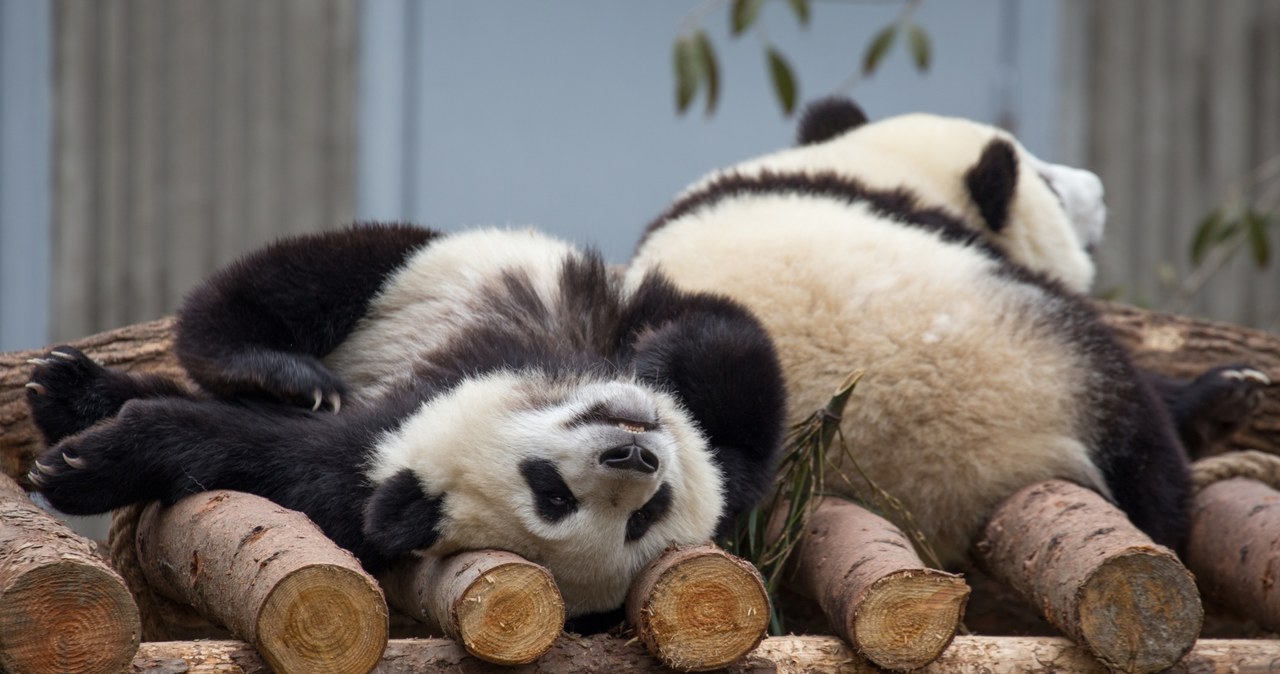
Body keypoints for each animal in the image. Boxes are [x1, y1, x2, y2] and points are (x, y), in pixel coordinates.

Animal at [27, 223, 788, 629]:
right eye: (550, 491)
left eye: (640, 520)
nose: (636, 456)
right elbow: (732, 353)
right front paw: (652, 363)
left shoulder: (357, 476)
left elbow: (258, 451)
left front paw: (92, 463)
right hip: (421, 273)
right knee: (301, 281)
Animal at [624, 97, 1264, 567]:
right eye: (1050, 186)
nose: (1097, 189)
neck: (877, 166)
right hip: (1066, 354)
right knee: (1149, 456)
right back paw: (1212, 404)